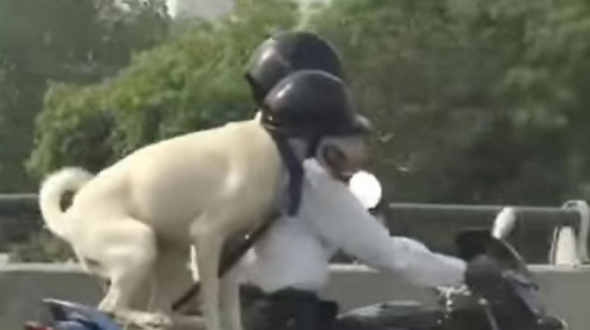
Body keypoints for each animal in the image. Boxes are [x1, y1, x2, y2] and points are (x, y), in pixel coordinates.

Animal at [39, 116, 368, 330]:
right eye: (346, 125)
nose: (371, 132)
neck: (277, 144)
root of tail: (72, 214)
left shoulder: (232, 245)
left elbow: (231, 305)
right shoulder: (208, 236)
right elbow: (212, 299)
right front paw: (212, 321)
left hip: (169, 254)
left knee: (158, 305)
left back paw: (170, 318)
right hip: (141, 243)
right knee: (110, 306)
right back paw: (149, 318)